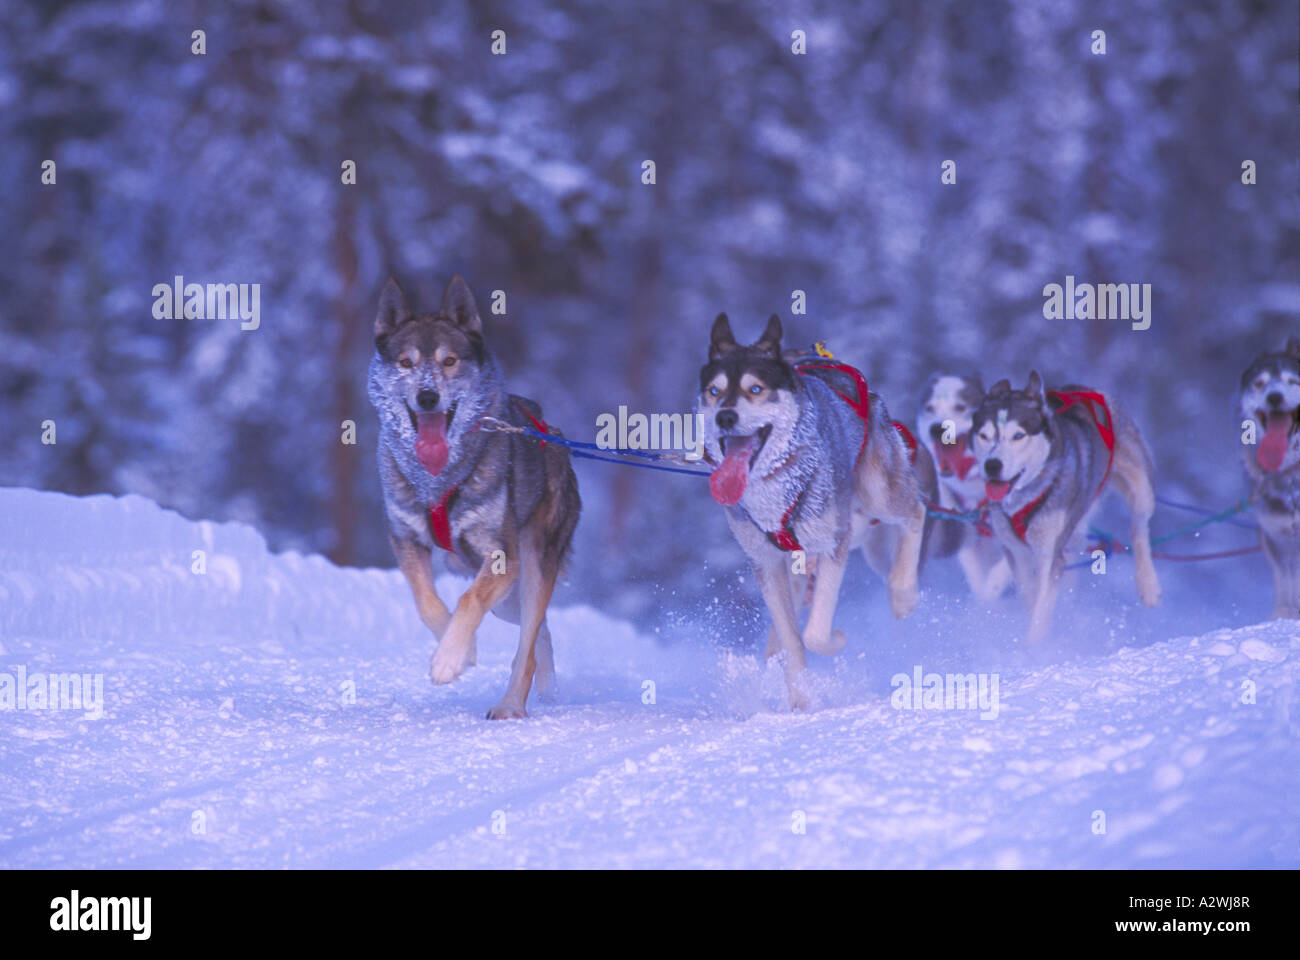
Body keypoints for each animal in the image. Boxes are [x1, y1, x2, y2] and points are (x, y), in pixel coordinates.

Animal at [371, 273, 585, 712]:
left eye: (450, 361)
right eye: (406, 363)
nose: (428, 396)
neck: (437, 481)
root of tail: (554, 437)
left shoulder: (502, 557)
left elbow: (467, 601)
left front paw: (450, 659)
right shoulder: (405, 539)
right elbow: (426, 602)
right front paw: (461, 651)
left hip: (532, 565)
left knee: (527, 645)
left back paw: (511, 706)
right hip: (508, 600)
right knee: (540, 632)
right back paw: (545, 691)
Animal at [702, 312, 925, 702]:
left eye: (755, 389)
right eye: (714, 391)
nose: (724, 417)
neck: (778, 483)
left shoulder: (832, 543)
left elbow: (815, 634)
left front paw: (836, 639)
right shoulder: (765, 561)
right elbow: (793, 640)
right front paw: (799, 701)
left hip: (880, 491)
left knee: (916, 513)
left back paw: (902, 593)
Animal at [972, 369, 1164, 640]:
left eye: (1018, 435)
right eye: (984, 436)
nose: (992, 465)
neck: (1025, 497)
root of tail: (1087, 389)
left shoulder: (1050, 555)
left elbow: (1039, 611)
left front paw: (1034, 647)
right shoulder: (1015, 551)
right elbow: (1030, 595)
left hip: (1141, 491)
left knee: (1139, 528)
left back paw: (1147, 584)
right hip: (1074, 529)